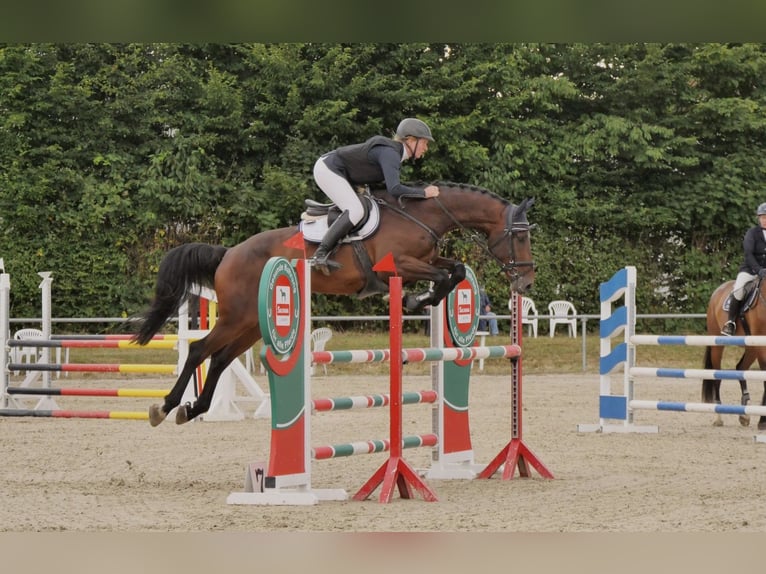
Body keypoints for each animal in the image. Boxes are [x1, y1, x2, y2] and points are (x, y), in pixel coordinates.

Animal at [131, 181, 536, 426]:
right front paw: (416, 297)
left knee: (220, 359)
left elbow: (454, 270)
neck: (423, 216)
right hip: (235, 317)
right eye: (519, 238)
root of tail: (229, 253)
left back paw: (193, 409)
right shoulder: (400, 263)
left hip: (249, 324)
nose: (526, 281)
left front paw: (420, 297)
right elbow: (445, 275)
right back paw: (166, 406)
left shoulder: (426, 260)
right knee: (200, 350)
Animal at [701, 277, 766, 429]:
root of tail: (718, 290)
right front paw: (762, 421)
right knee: (717, 375)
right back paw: (718, 417)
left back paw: (744, 415)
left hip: (751, 348)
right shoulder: (761, 345)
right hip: (717, 344)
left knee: (740, 368)